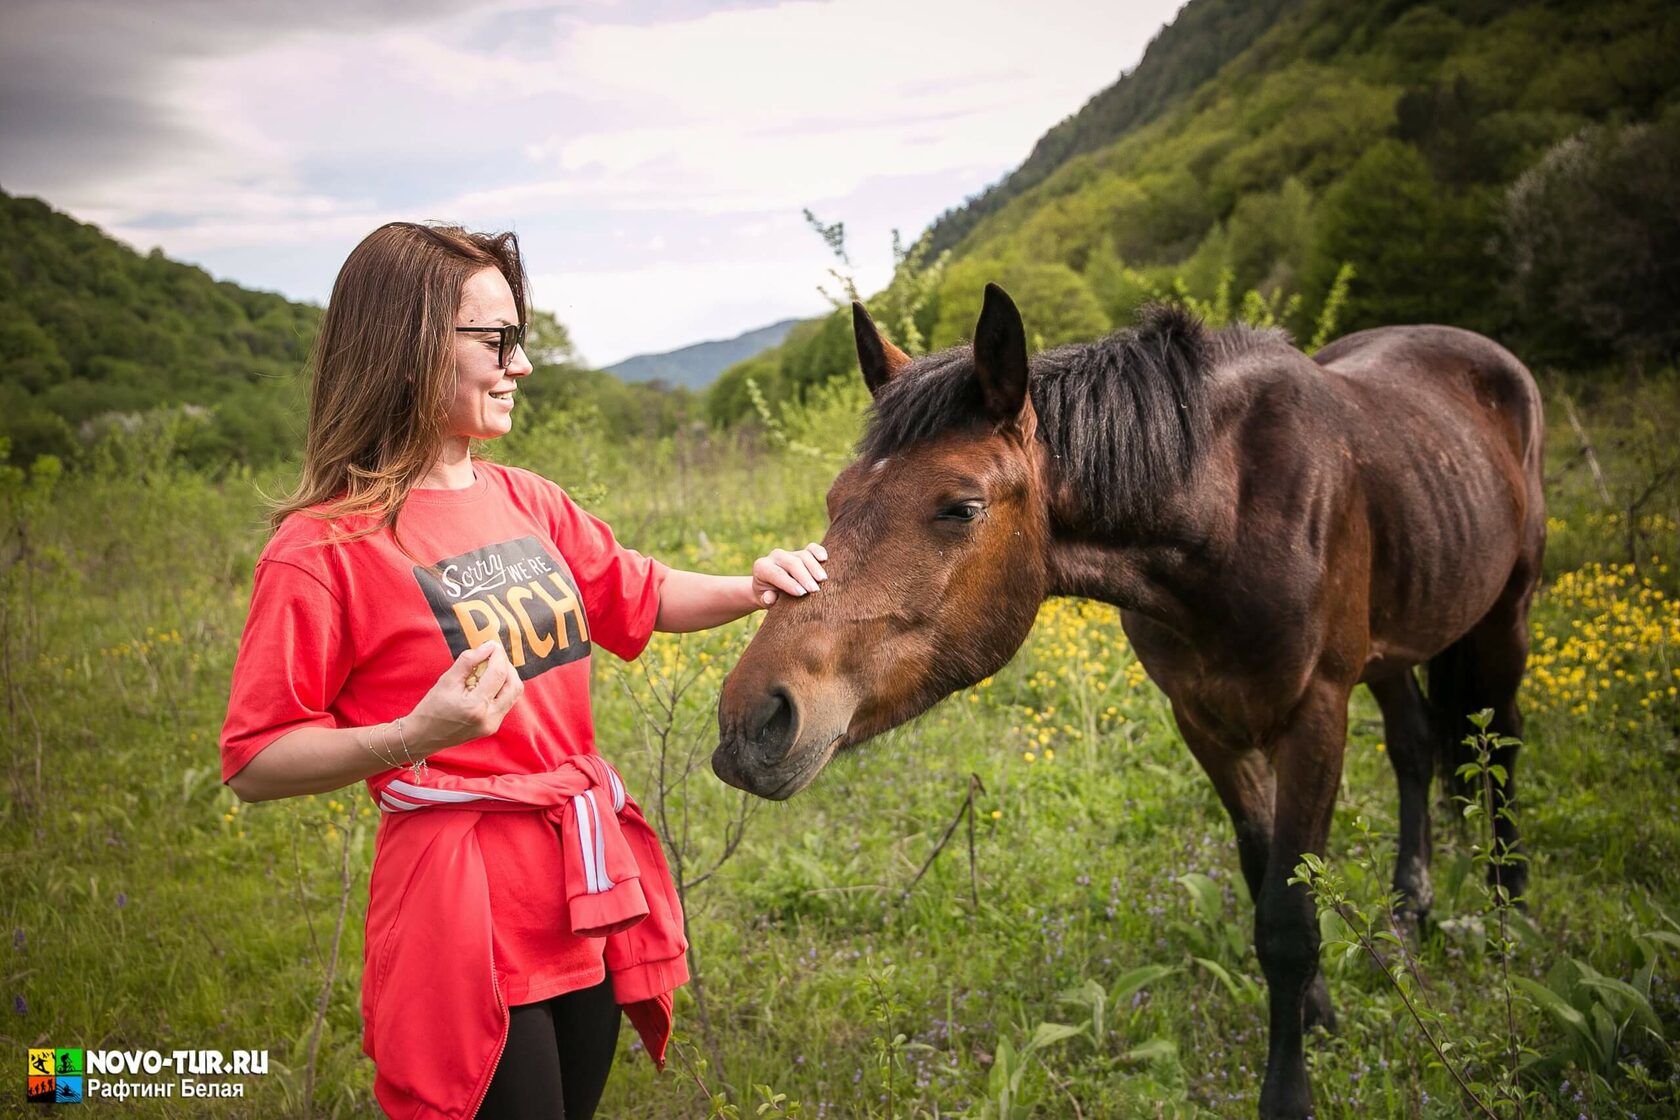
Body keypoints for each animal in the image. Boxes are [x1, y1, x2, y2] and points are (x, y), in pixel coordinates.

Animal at [715, 285, 1538, 1114]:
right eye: (837, 498)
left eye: (961, 507)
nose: (753, 721)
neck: (1231, 515)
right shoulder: (1204, 721)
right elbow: (1266, 876)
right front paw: (1317, 1013)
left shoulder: (1315, 718)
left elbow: (1288, 920)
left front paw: (1290, 1086)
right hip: (1391, 646)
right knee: (1414, 745)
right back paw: (1410, 909)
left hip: (1505, 618)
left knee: (1502, 746)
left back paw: (1510, 910)